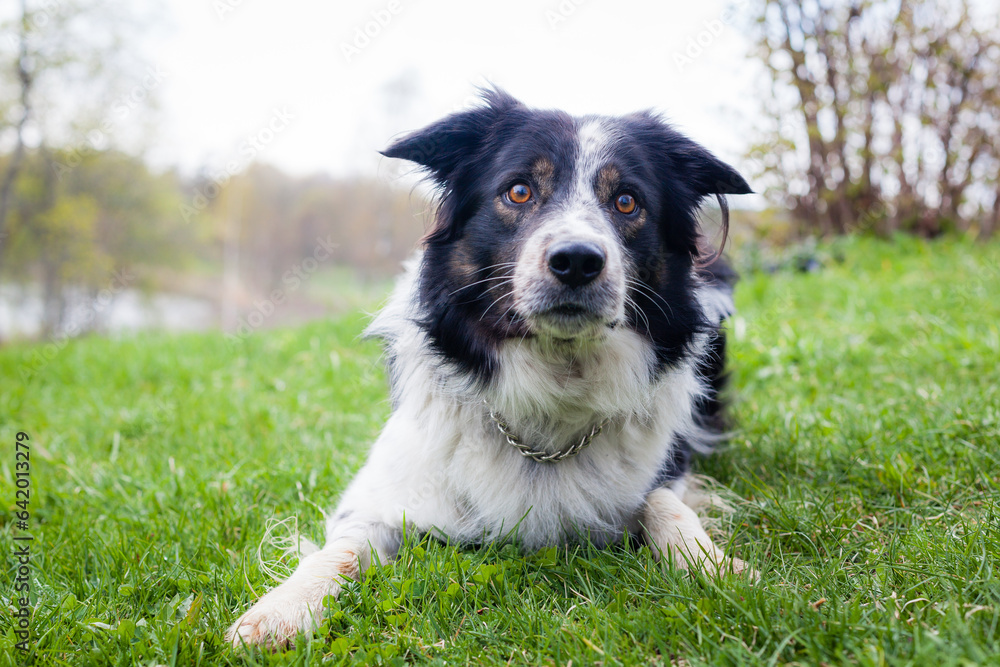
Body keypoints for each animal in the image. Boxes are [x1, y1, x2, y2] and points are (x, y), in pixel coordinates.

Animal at [227, 88, 752, 648]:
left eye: (627, 201)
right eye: (519, 191)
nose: (577, 261)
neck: (553, 392)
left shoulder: (667, 468)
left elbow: (663, 504)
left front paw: (716, 567)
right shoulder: (386, 489)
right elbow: (341, 549)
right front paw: (280, 610)